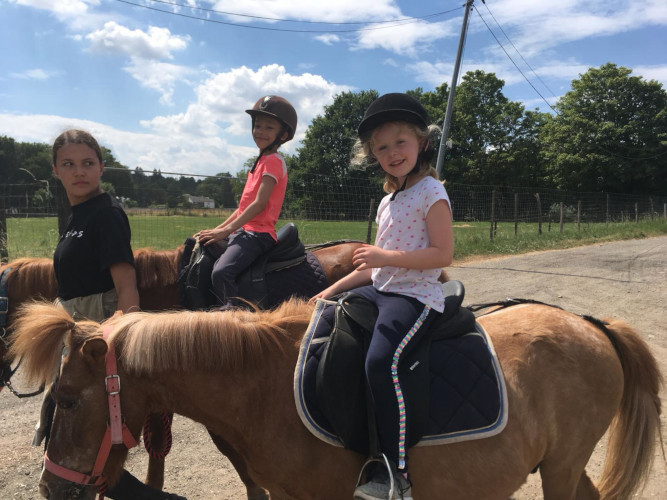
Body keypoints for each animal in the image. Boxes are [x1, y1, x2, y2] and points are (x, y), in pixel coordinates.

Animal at [9, 300, 664, 500]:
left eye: (67, 400)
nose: (50, 487)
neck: (265, 385)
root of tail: (590, 324)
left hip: (561, 464)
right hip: (563, 463)